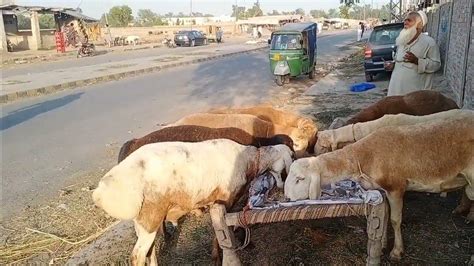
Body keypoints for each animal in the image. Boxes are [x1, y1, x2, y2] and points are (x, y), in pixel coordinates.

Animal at [92, 138, 292, 264]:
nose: (282, 186)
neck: (249, 160)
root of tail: (102, 190)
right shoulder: (224, 200)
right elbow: (221, 231)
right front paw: (218, 256)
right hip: (151, 215)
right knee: (137, 256)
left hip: (142, 220)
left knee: (149, 251)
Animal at [286, 115, 474, 260]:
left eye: (300, 179)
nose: (287, 198)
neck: (363, 156)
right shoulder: (383, 190)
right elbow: (384, 217)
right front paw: (383, 244)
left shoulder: (396, 187)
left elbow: (395, 220)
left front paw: (396, 252)